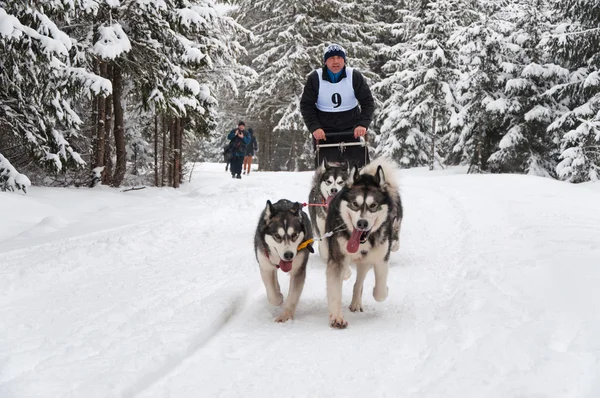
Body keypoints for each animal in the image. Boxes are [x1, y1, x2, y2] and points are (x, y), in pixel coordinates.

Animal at [324, 159, 404, 330]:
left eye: (373, 205)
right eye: (355, 203)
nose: (362, 223)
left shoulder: (381, 260)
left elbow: (379, 293)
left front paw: (384, 290)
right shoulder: (337, 261)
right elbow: (335, 291)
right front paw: (337, 318)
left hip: (365, 263)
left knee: (359, 283)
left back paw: (356, 302)